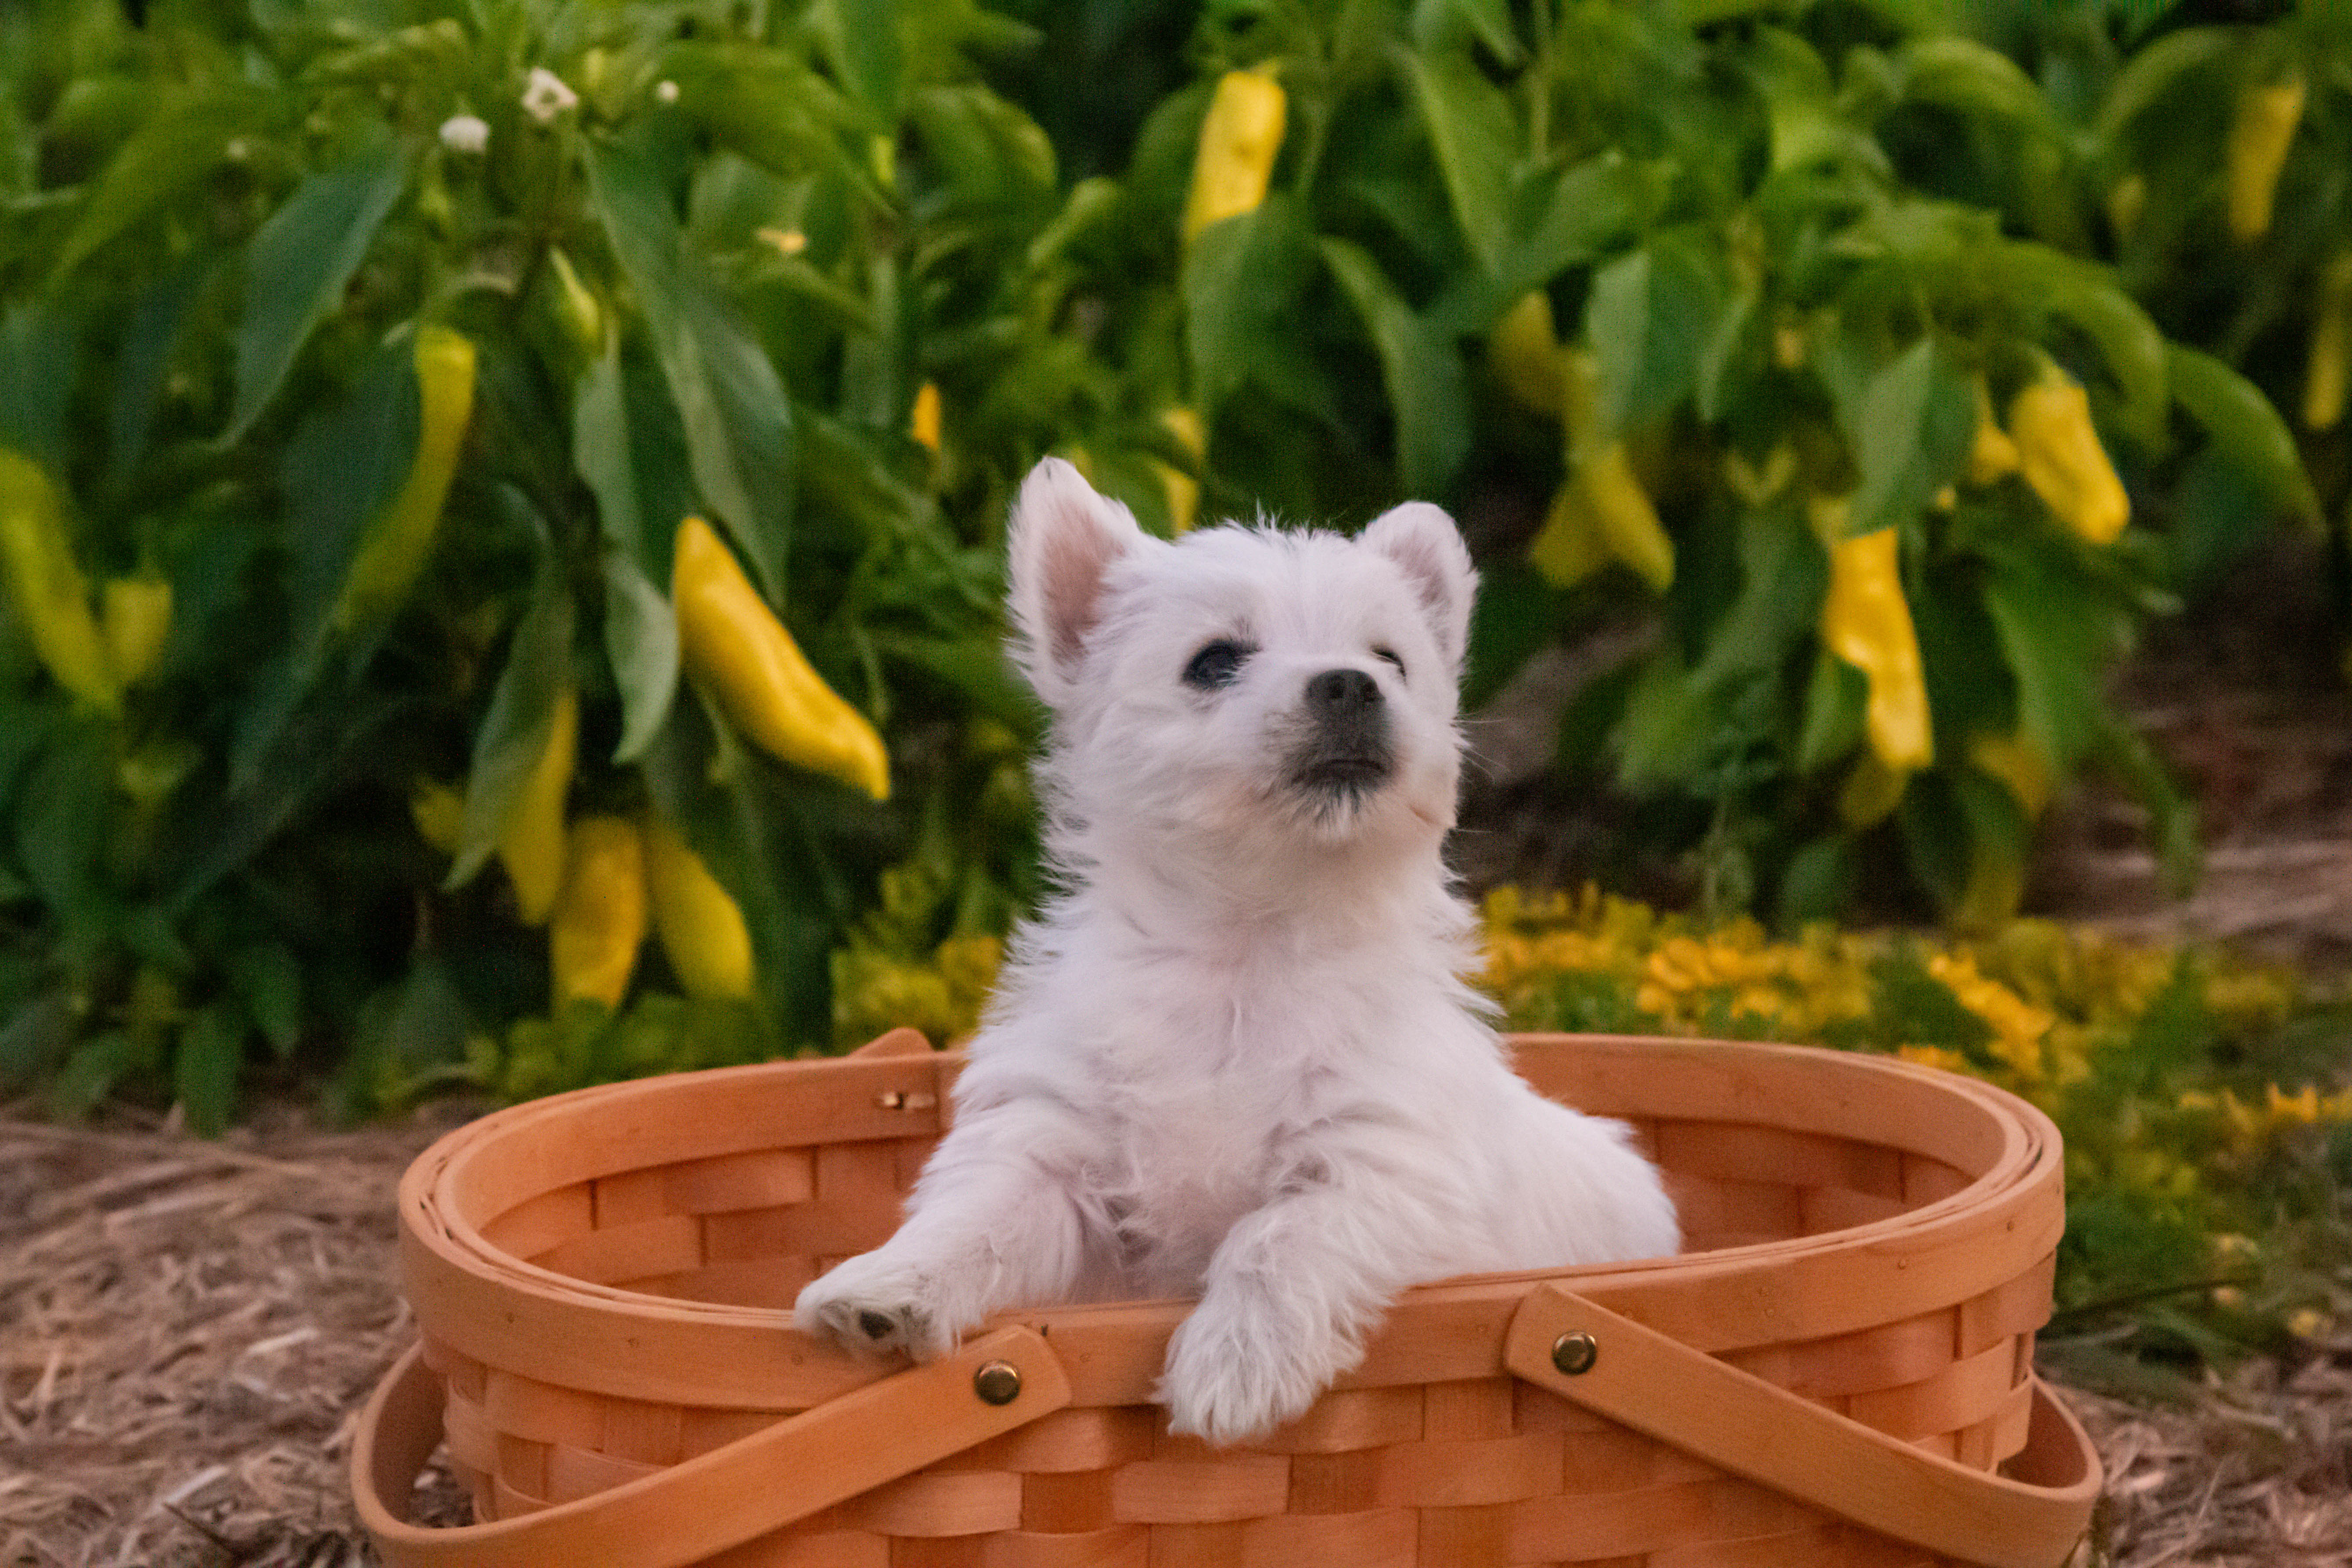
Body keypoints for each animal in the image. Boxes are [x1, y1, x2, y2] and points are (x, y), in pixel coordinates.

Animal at [800, 456, 1684, 1448]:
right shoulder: (1050, 1151)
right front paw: (887, 1285)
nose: (1350, 684)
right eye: (1214, 661)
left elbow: (1278, 1237)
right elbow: (976, 1214)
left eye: (1390, 659)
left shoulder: (1381, 1165)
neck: (1249, 946)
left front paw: (1234, 1364)